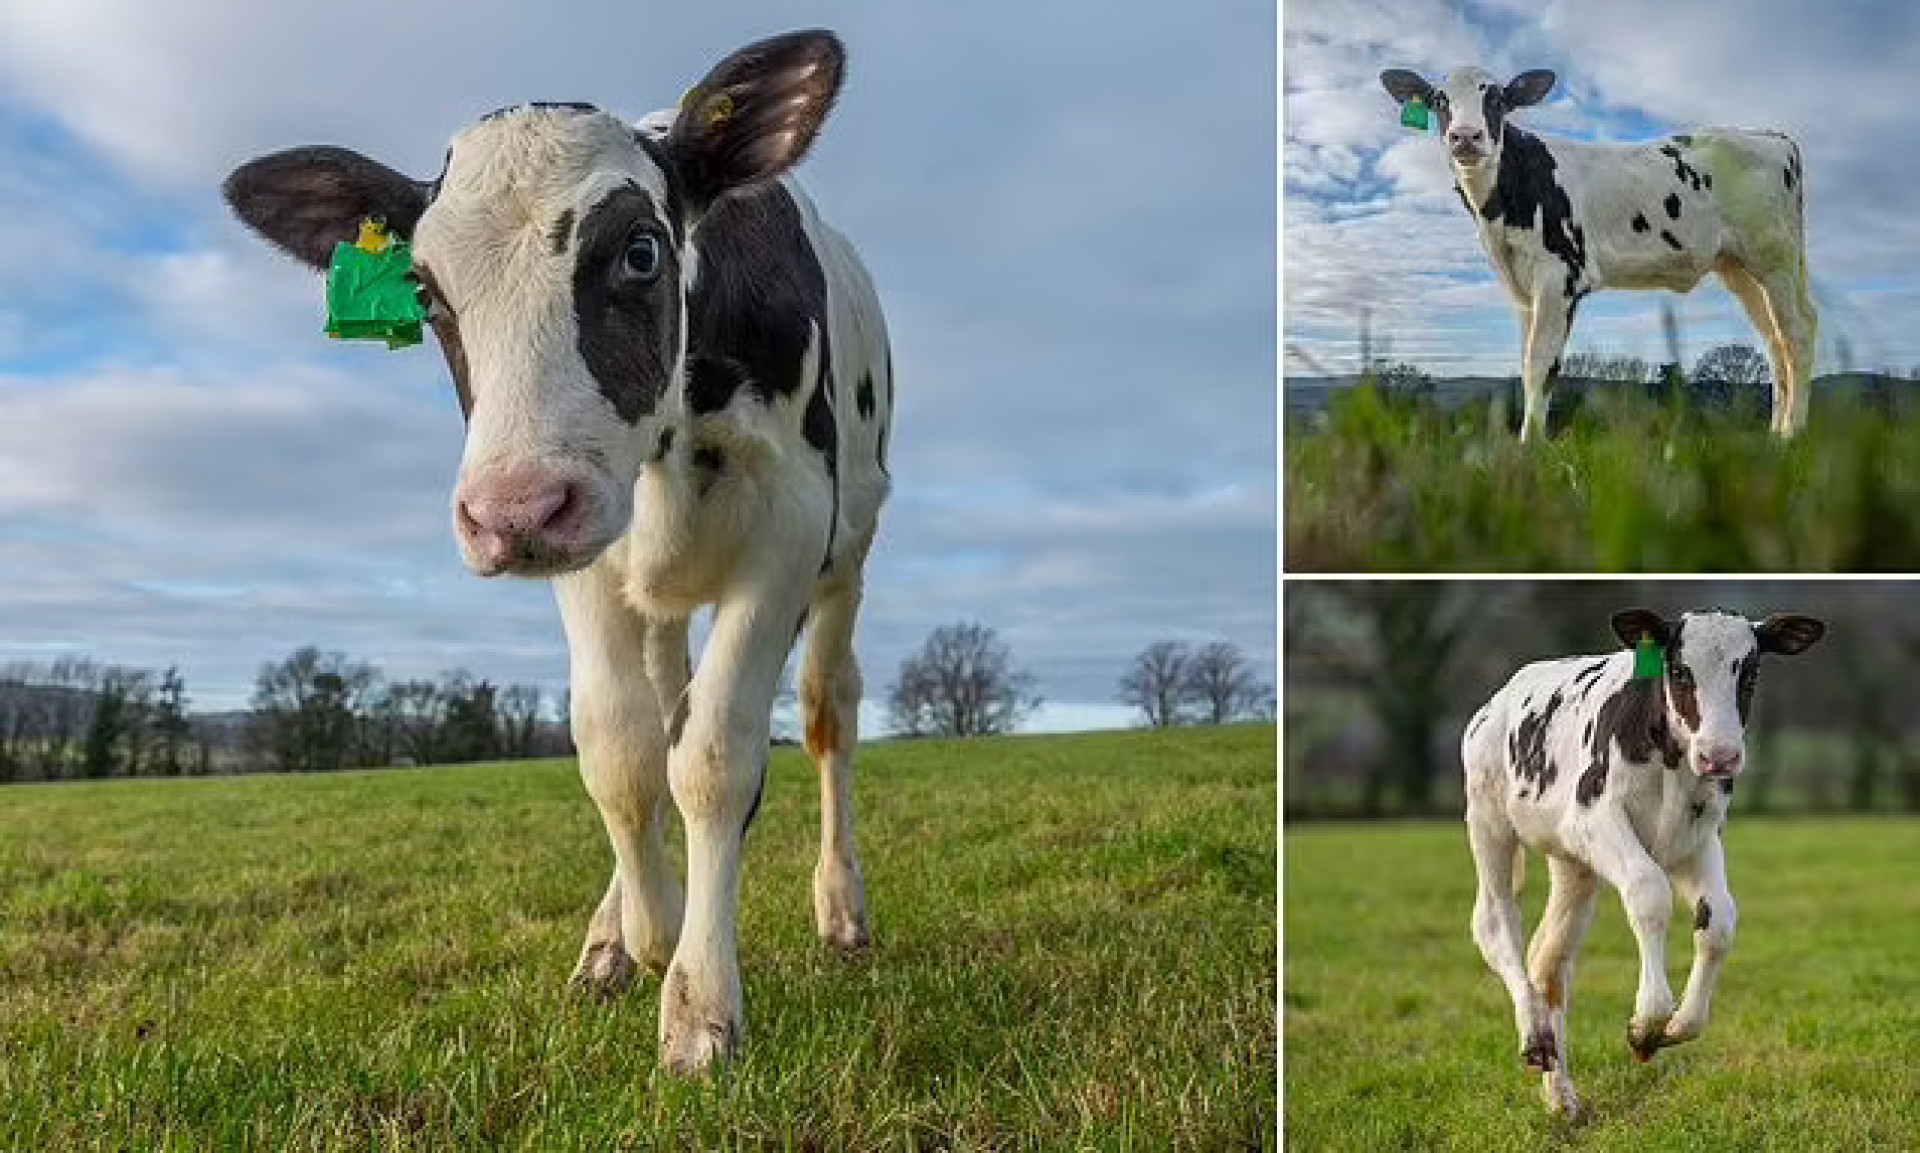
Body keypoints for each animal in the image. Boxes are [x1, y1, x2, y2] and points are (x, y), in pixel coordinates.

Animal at [1382, 66, 1812, 441]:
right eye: (1439, 99)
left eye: (1498, 99)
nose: (1466, 136)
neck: (1499, 207)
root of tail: (1772, 136)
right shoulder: (1522, 289)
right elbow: (1525, 361)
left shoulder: (1560, 277)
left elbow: (1540, 364)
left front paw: (1530, 448)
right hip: (1739, 267)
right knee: (1774, 340)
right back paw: (1774, 435)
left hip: (1776, 258)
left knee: (1799, 332)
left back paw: (1793, 435)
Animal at [1459, 606, 1820, 1112]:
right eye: (1680, 670)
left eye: (1750, 673)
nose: (1720, 756)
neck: (1672, 763)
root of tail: (1501, 696)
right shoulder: (1593, 817)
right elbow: (1650, 893)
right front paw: (1649, 1020)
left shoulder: (1700, 838)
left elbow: (1719, 922)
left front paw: (1674, 1026)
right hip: (1488, 819)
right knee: (1494, 922)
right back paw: (1534, 1036)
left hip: (1573, 865)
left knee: (1548, 959)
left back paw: (1561, 1096)